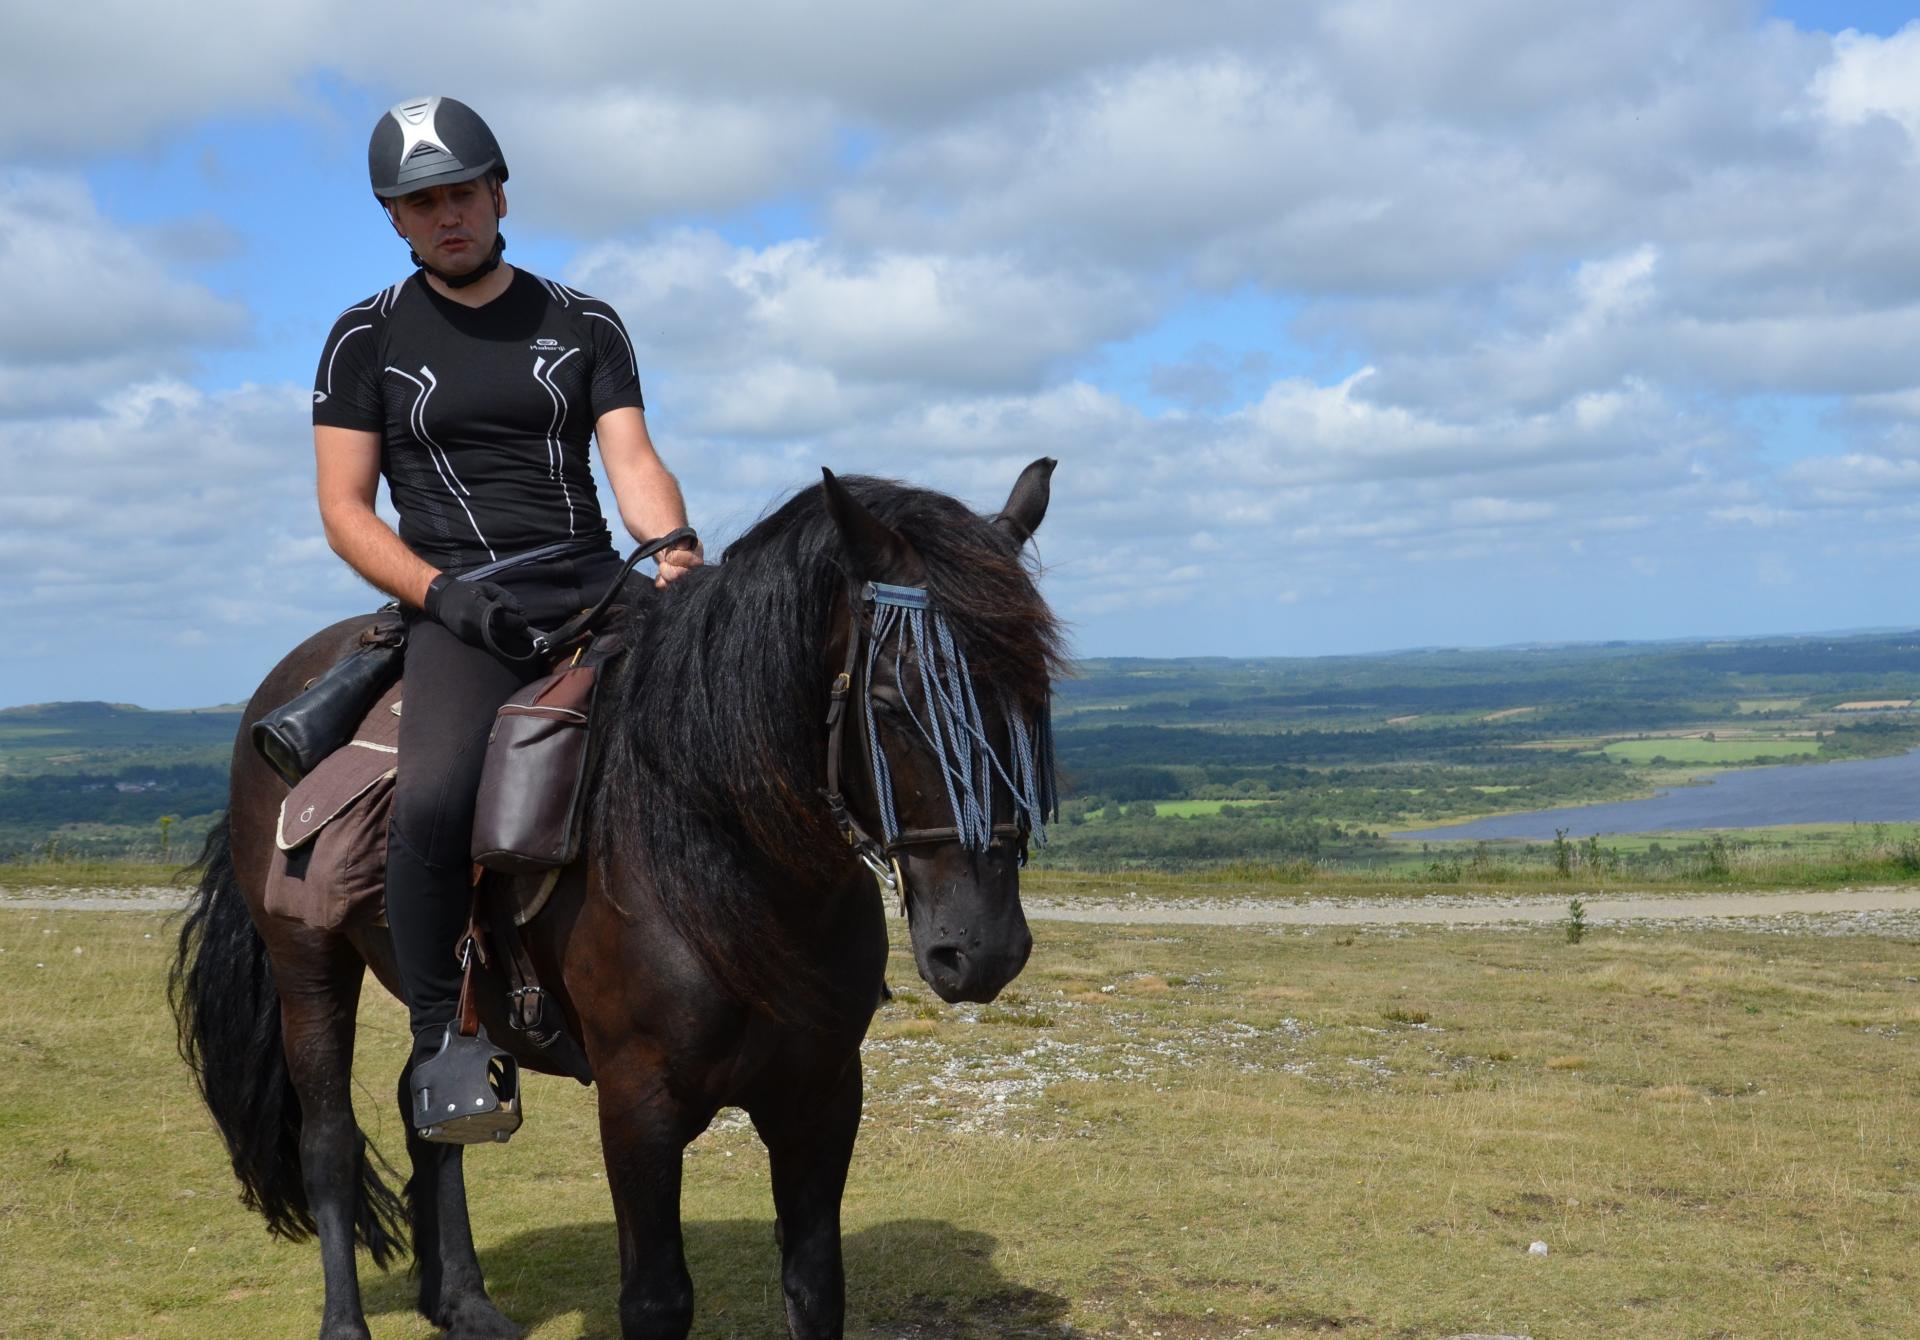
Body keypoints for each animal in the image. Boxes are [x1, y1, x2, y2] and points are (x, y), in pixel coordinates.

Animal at [168, 462, 1067, 1336]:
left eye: (1035, 696)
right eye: (890, 703)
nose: (982, 947)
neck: (727, 871)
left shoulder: (821, 1095)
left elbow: (815, 1287)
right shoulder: (640, 1106)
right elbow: (657, 1299)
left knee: (429, 1112)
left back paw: (464, 1304)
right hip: (308, 962)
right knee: (329, 1143)